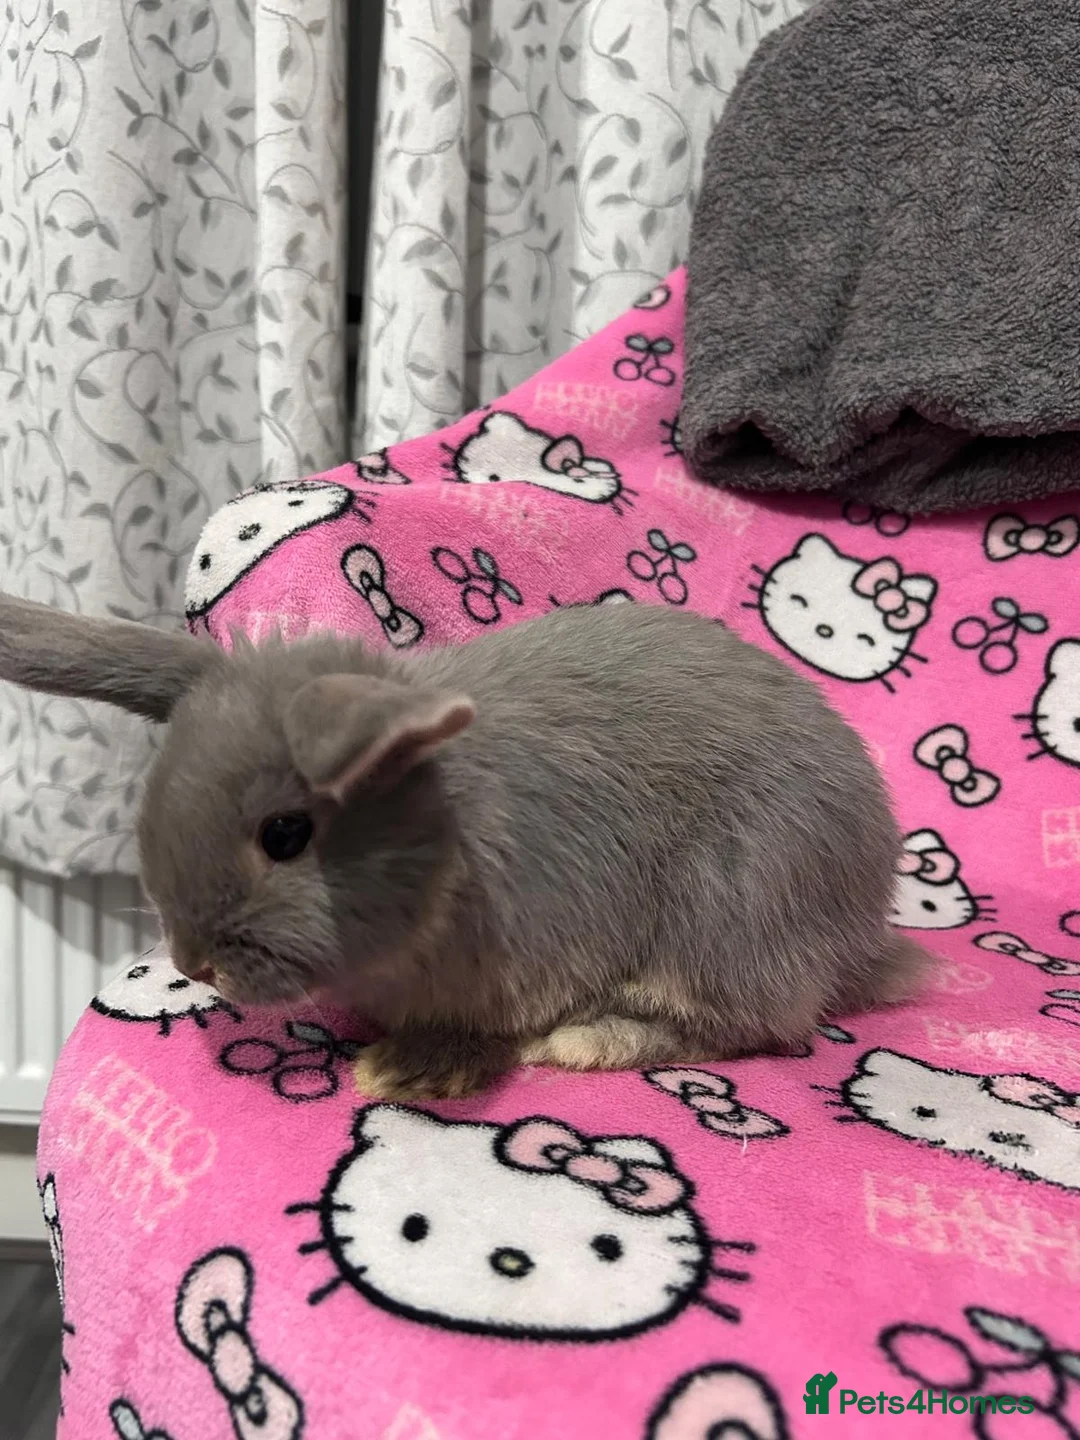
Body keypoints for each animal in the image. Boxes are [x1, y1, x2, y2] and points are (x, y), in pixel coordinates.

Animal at [0, 594, 928, 1099]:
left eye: (285, 835)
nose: (194, 965)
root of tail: (864, 923)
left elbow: (489, 1030)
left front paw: (407, 1072)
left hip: (729, 910)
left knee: (758, 1026)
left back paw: (589, 1043)